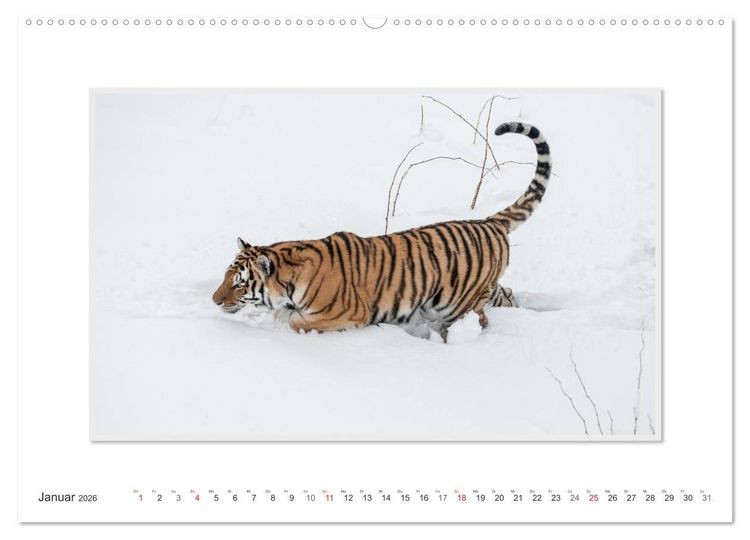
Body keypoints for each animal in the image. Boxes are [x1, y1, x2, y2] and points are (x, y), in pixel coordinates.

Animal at [212, 122, 550, 341]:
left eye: (240, 284)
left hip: (457, 302)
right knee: (506, 294)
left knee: (477, 321)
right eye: (226, 276)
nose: (214, 301)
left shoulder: (346, 312)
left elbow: (298, 322)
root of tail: (487, 222)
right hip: (481, 288)